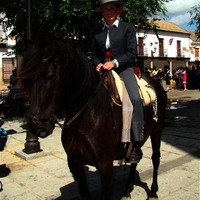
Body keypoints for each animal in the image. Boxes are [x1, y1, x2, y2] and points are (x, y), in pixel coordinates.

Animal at [18, 32, 167, 199]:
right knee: (134, 160)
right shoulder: (75, 163)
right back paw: (127, 190)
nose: (37, 126)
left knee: (155, 158)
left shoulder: (105, 164)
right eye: (26, 79)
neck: (87, 115)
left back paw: (153, 191)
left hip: (157, 131)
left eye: (49, 76)